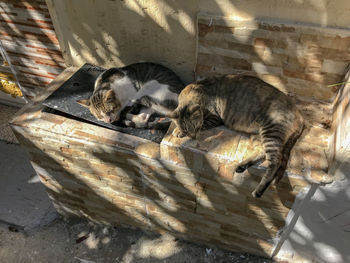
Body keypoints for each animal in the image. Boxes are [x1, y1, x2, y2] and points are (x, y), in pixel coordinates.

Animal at [167, 74, 304, 198]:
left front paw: (178, 131)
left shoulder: (214, 119)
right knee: (262, 152)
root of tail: (300, 115)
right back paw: (242, 165)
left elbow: (203, 124)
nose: (194, 136)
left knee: (275, 161)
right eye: (188, 129)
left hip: (271, 131)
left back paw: (259, 190)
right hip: (258, 135)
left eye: (195, 128)